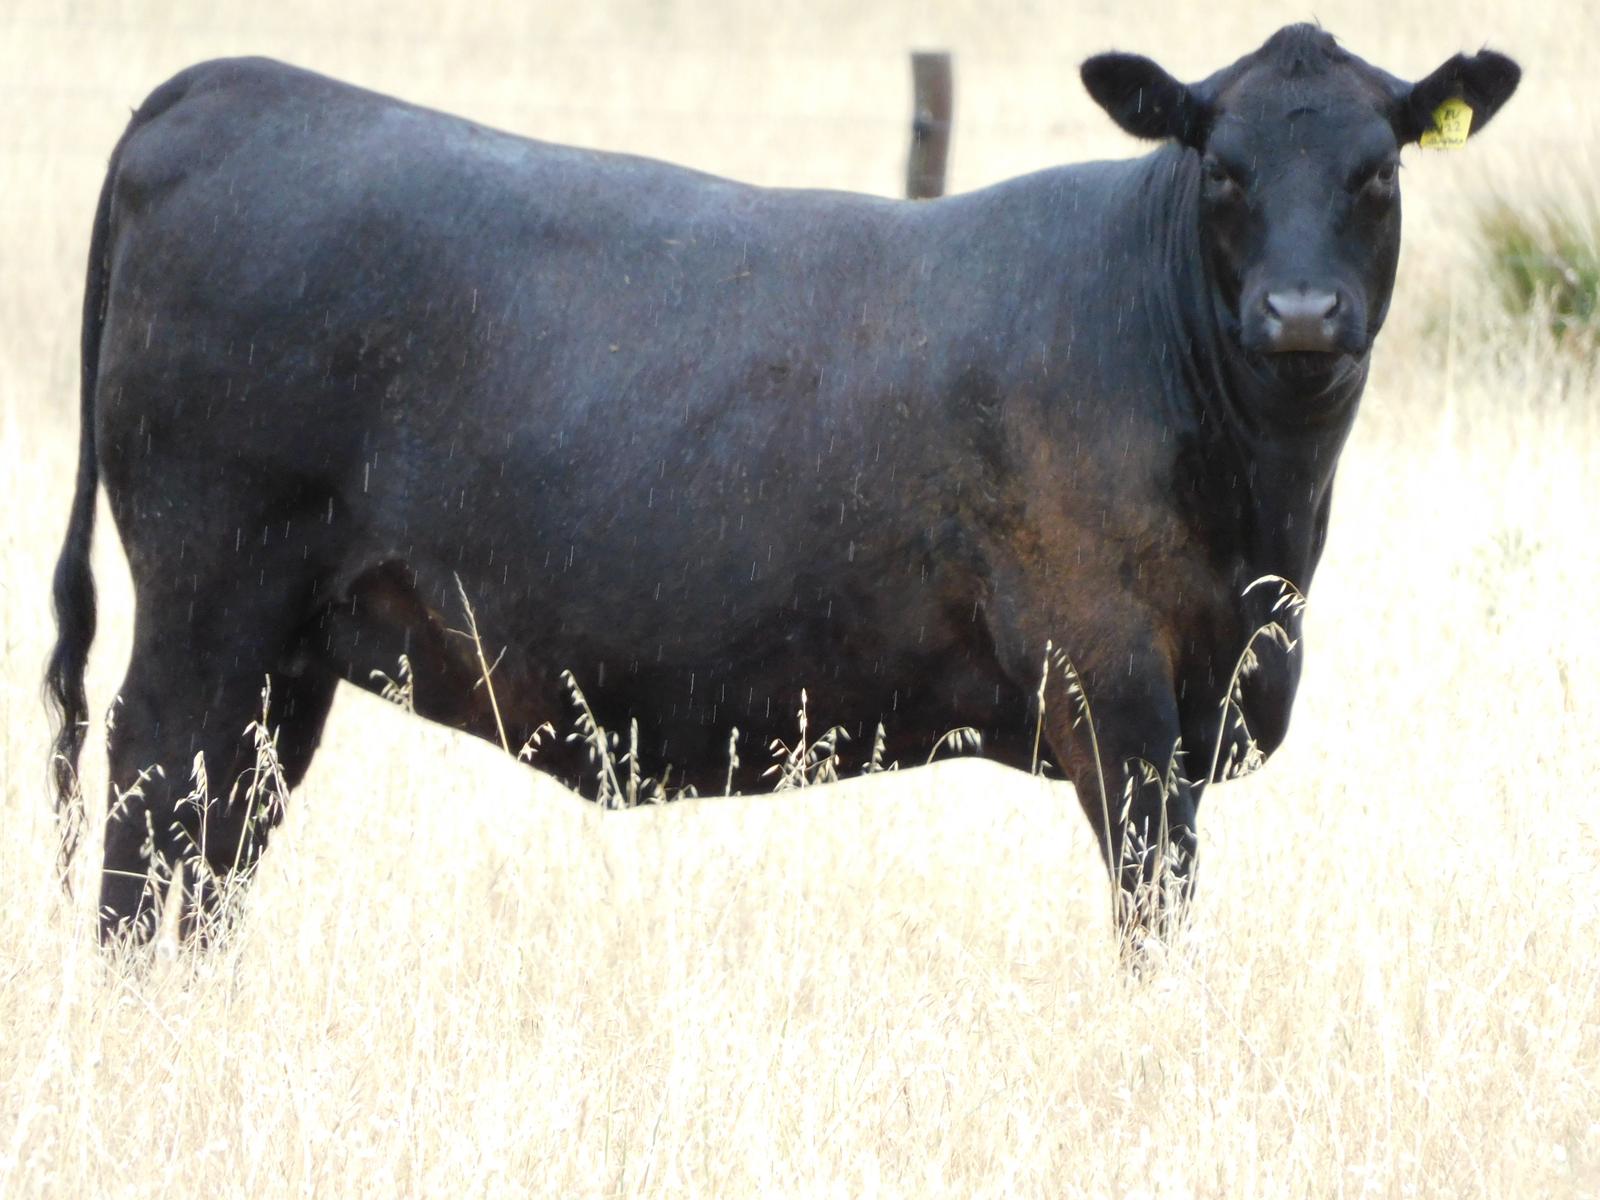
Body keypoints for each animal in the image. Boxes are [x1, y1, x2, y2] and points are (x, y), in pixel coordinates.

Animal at [46, 26, 1519, 945]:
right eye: (1221, 166)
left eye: (1377, 171)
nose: (1301, 313)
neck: (1264, 534)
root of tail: (221, 88)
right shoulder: (1115, 683)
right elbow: (1154, 912)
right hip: (208, 599)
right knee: (150, 808)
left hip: (288, 648)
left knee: (219, 841)